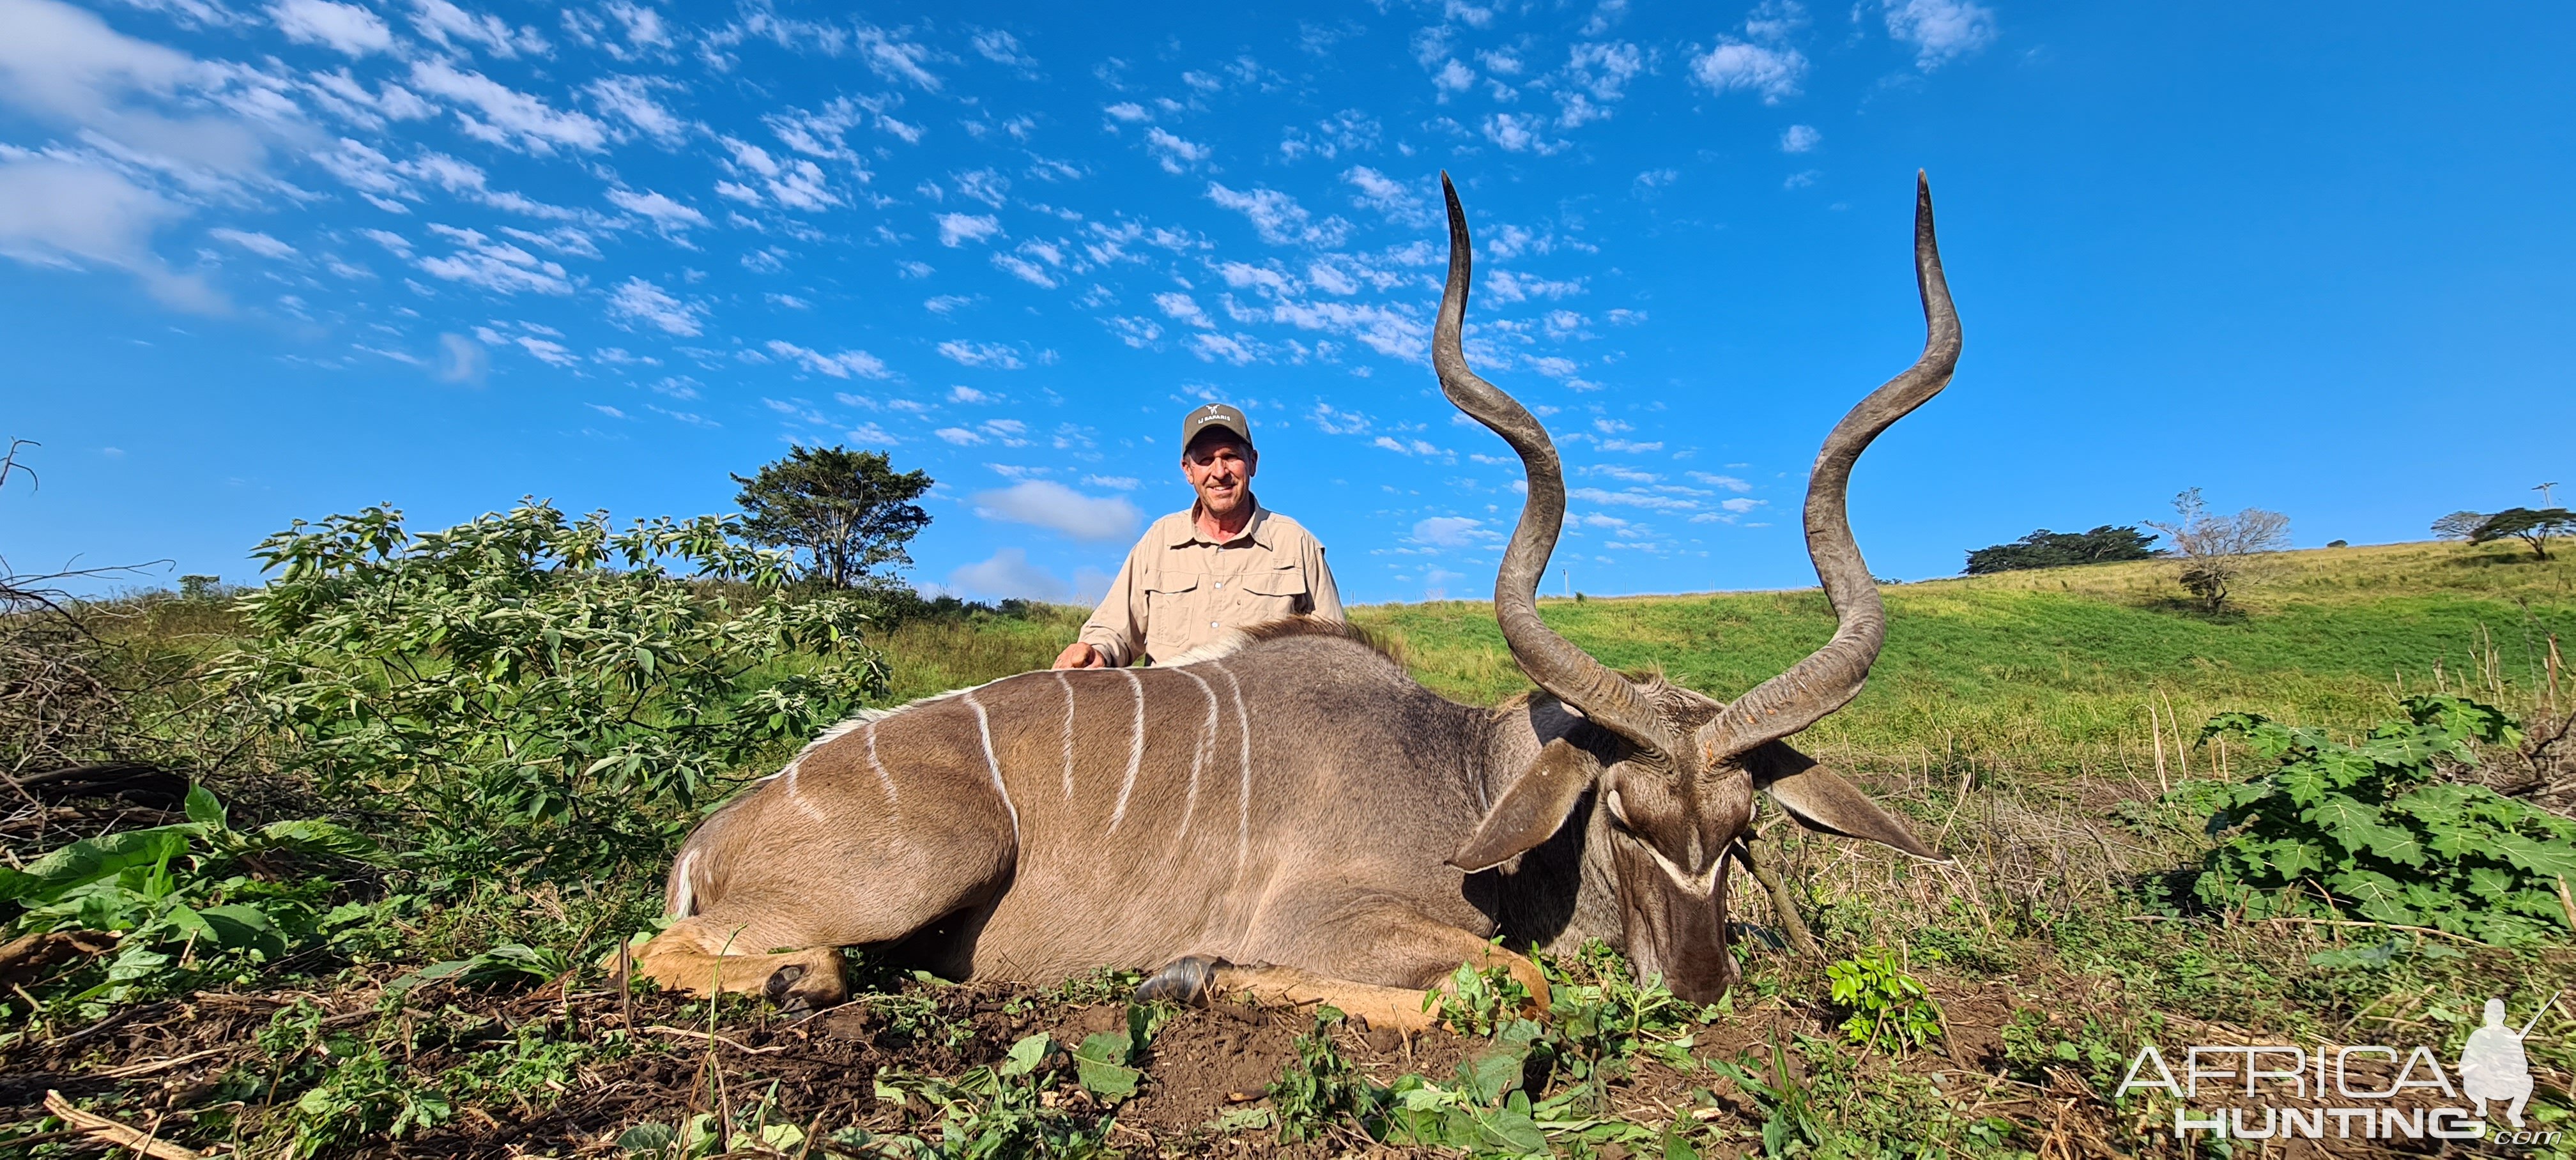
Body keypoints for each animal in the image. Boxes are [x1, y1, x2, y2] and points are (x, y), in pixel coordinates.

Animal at [633, 170, 1958, 1026]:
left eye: (1741, 828)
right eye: (1623, 817)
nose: (1696, 989)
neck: (1461, 776)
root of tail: (713, 832)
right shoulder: (1326, 920)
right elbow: (1510, 982)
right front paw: (1190, 972)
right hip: (927, 861)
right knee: (656, 951)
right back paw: (804, 980)